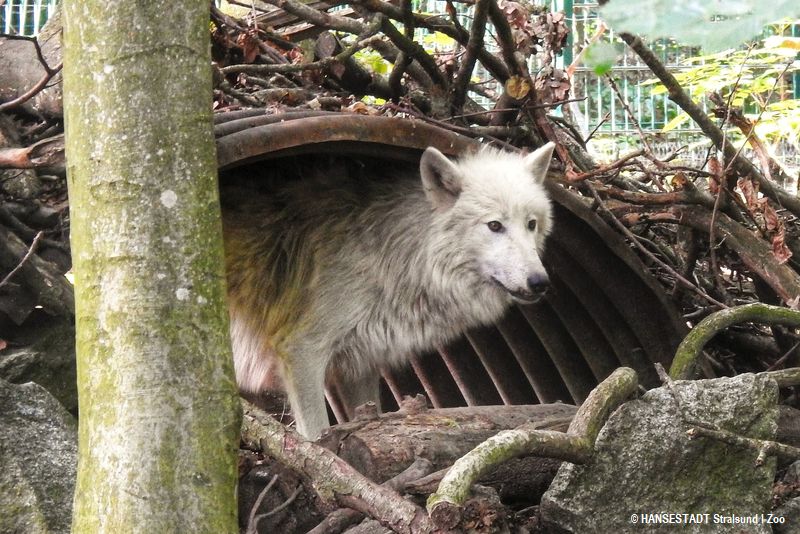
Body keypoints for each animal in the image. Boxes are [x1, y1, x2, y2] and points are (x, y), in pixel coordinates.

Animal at [222, 142, 552, 440]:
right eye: (494, 225)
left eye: (531, 224)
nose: (540, 282)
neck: (391, 256)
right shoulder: (302, 350)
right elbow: (315, 434)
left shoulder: (359, 365)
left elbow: (367, 418)